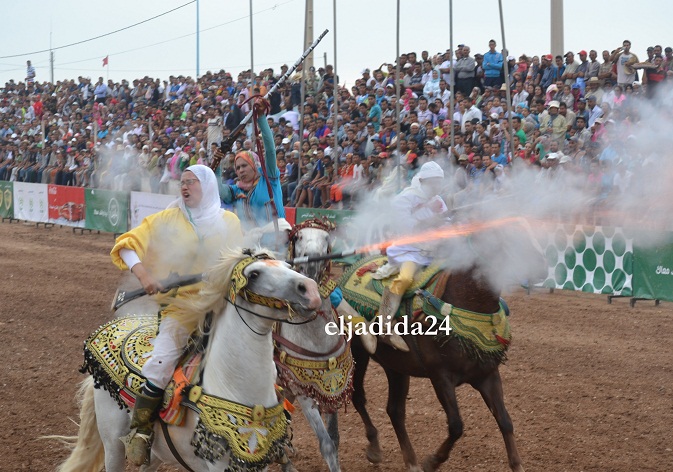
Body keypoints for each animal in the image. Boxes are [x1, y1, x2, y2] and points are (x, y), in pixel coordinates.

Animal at [342, 222, 544, 472]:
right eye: (508, 235)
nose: (542, 269)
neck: (466, 301)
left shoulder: (487, 375)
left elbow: (505, 421)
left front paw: (517, 465)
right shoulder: (441, 377)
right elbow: (456, 425)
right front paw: (433, 461)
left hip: (396, 367)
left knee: (395, 411)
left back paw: (411, 461)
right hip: (358, 352)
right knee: (359, 396)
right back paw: (375, 448)